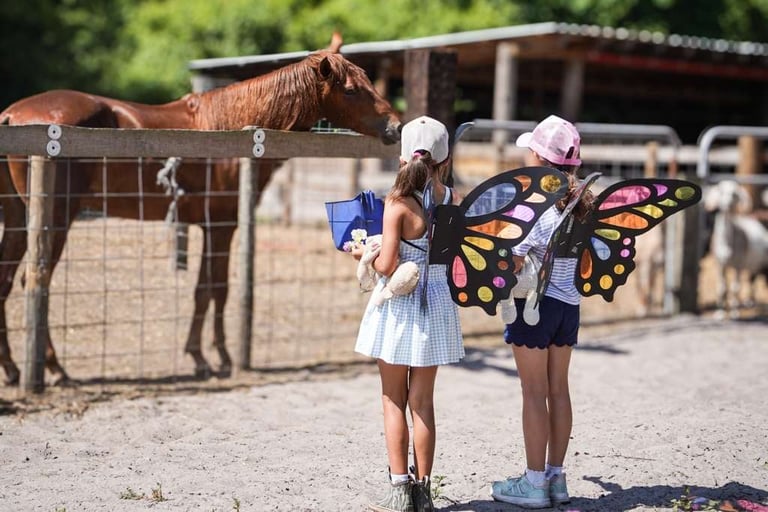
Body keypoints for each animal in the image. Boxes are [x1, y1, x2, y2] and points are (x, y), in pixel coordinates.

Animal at [0, 35, 402, 386]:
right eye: (350, 89)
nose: (396, 127)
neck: (231, 127)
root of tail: (11, 115)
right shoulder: (222, 225)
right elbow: (217, 289)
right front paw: (220, 360)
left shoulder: (209, 226)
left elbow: (203, 290)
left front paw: (198, 357)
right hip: (55, 220)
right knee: (35, 282)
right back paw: (54, 369)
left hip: (18, 219)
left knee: (6, 281)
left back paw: (14, 370)